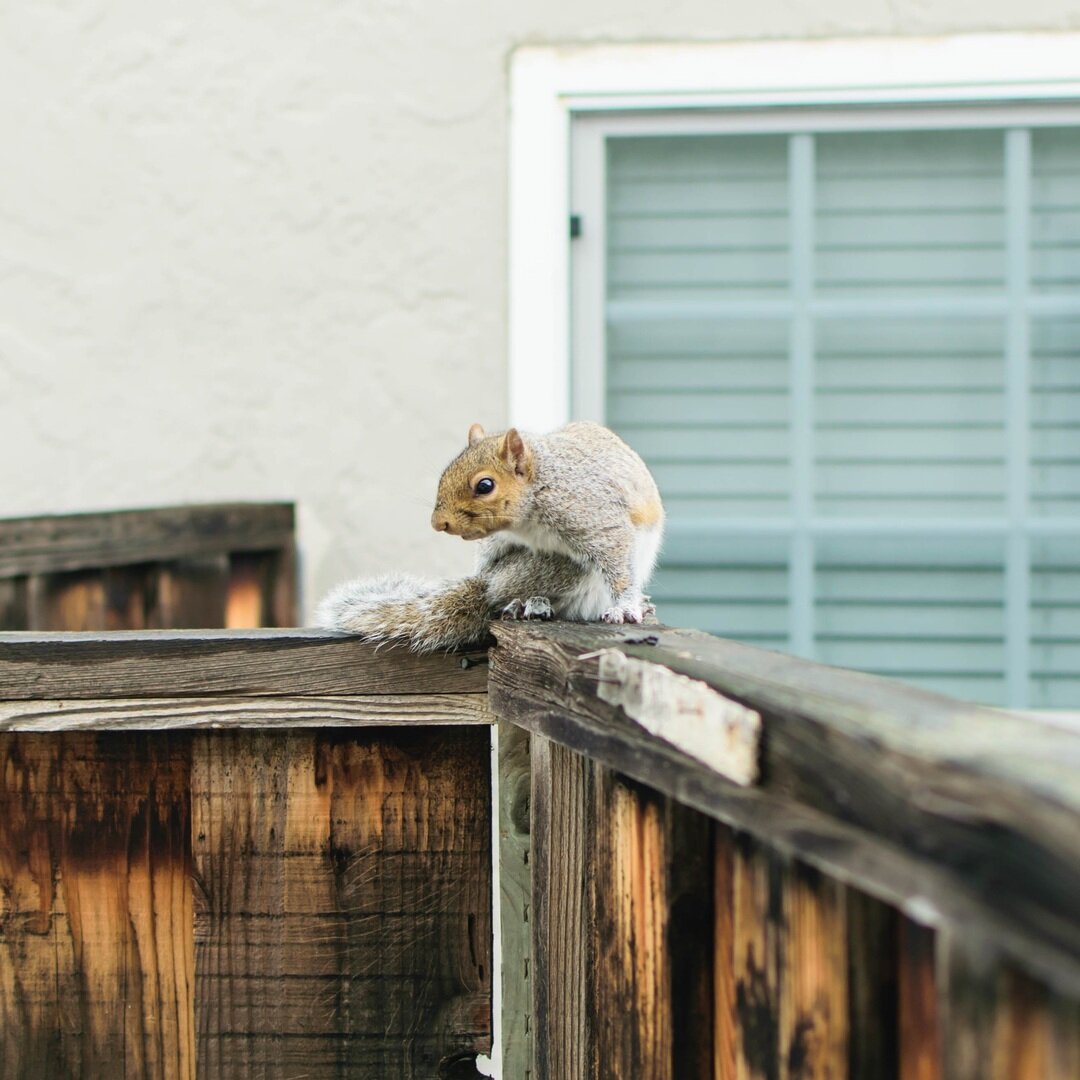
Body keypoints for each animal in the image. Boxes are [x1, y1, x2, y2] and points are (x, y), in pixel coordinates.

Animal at [315, 423, 665, 652]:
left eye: (485, 486)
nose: (438, 523)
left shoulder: (591, 515)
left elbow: (617, 560)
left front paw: (626, 607)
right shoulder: (496, 543)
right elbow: (485, 566)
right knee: (496, 589)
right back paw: (527, 603)